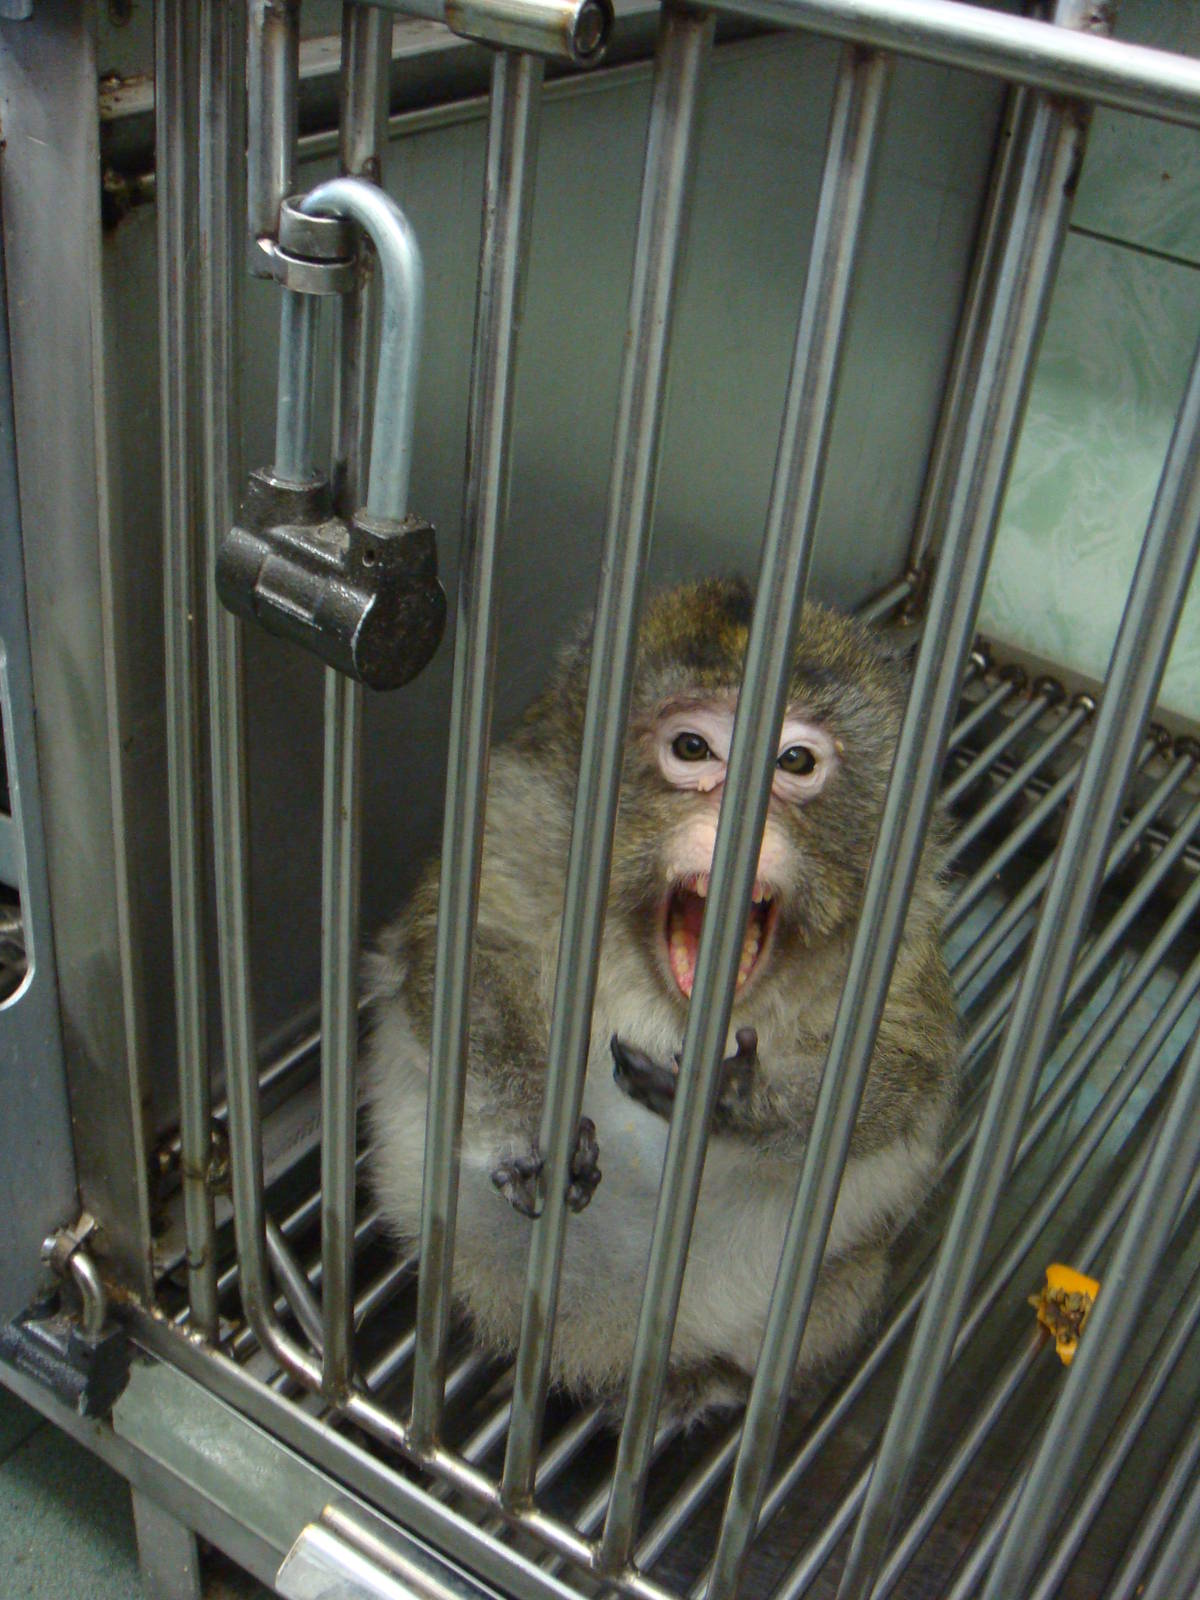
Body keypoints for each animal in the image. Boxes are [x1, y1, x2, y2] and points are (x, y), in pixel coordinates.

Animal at [365, 578, 957, 1418]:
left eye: (795, 760)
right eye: (693, 749)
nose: (741, 822)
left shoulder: (901, 934)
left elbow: (910, 1071)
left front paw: (739, 1097)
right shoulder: (522, 812)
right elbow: (466, 948)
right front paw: (529, 1130)